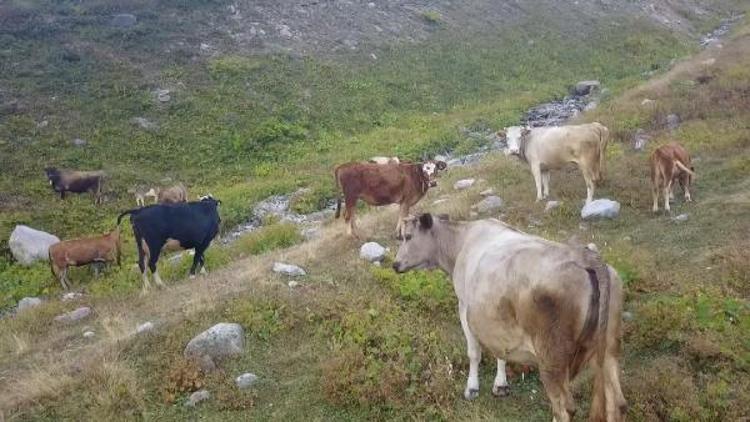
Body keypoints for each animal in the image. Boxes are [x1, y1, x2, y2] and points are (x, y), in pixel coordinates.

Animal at [394, 214, 628, 422]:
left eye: (407, 236)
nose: (395, 264)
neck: (460, 243)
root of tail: (586, 256)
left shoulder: (464, 305)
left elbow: (474, 352)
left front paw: (472, 388)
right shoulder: (496, 318)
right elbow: (500, 351)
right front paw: (500, 384)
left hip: (552, 356)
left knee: (565, 409)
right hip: (609, 345)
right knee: (617, 402)